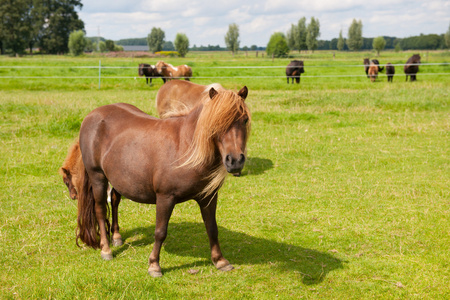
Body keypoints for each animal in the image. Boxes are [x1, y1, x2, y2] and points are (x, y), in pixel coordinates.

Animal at [72, 84, 251, 276]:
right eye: (216, 123)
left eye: (245, 120)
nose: (235, 161)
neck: (186, 147)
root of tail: (92, 115)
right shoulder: (165, 197)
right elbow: (160, 231)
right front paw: (154, 265)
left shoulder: (208, 197)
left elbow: (212, 228)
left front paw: (220, 261)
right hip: (97, 177)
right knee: (100, 209)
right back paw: (106, 249)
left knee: (114, 201)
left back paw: (117, 237)